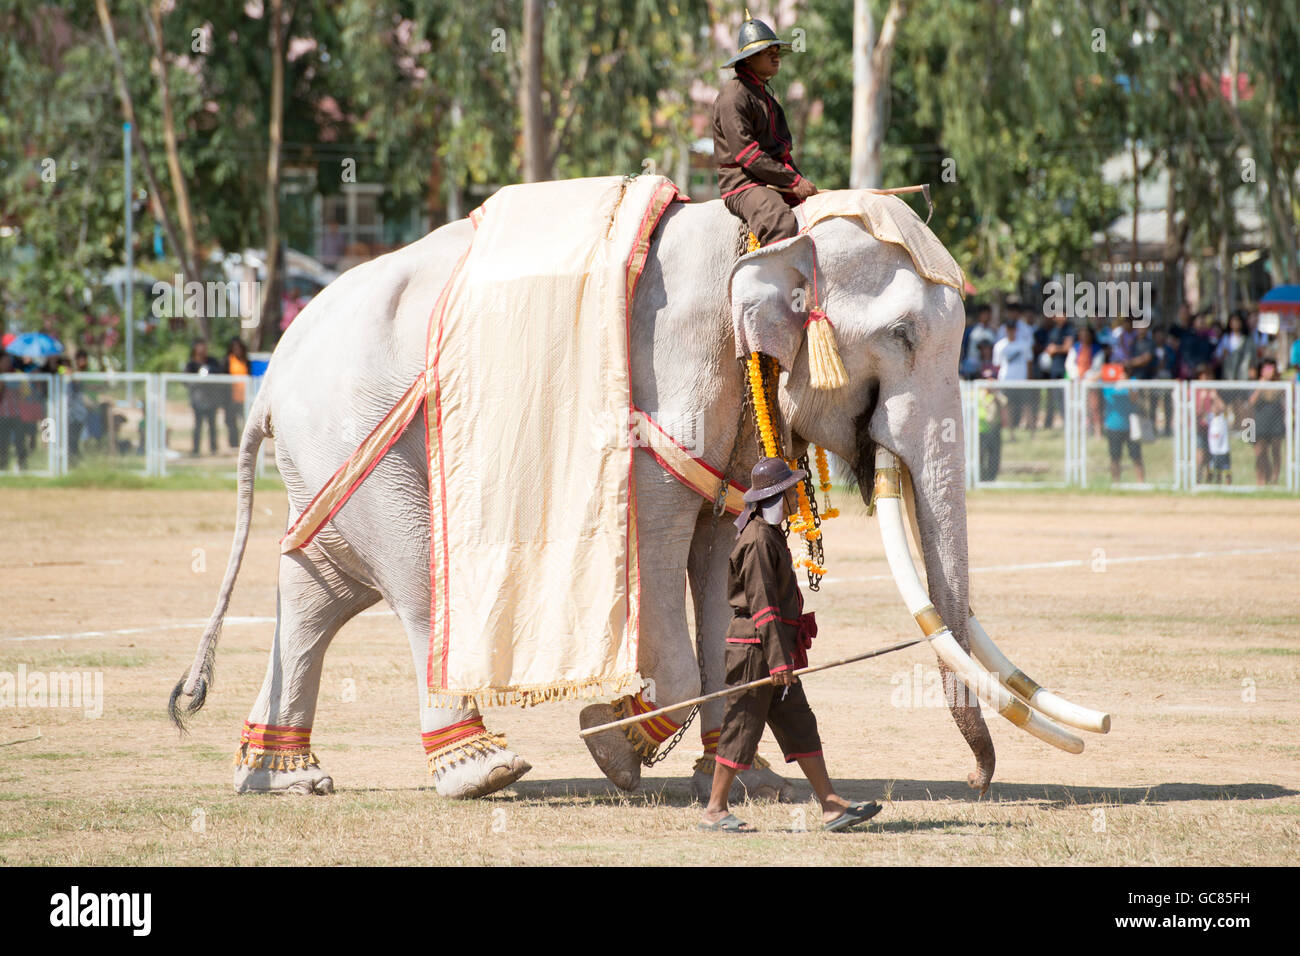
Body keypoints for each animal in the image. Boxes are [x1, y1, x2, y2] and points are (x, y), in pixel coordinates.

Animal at [170, 187, 1003, 801]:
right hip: (357, 443)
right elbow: (661, 553)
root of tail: (272, 374)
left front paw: (742, 775)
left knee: (317, 591)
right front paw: (612, 739)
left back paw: (281, 776)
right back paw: (480, 771)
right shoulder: (660, 397)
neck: (759, 234)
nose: (975, 778)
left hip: (328, 462)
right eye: (902, 335)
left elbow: (717, 559)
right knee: (412, 581)